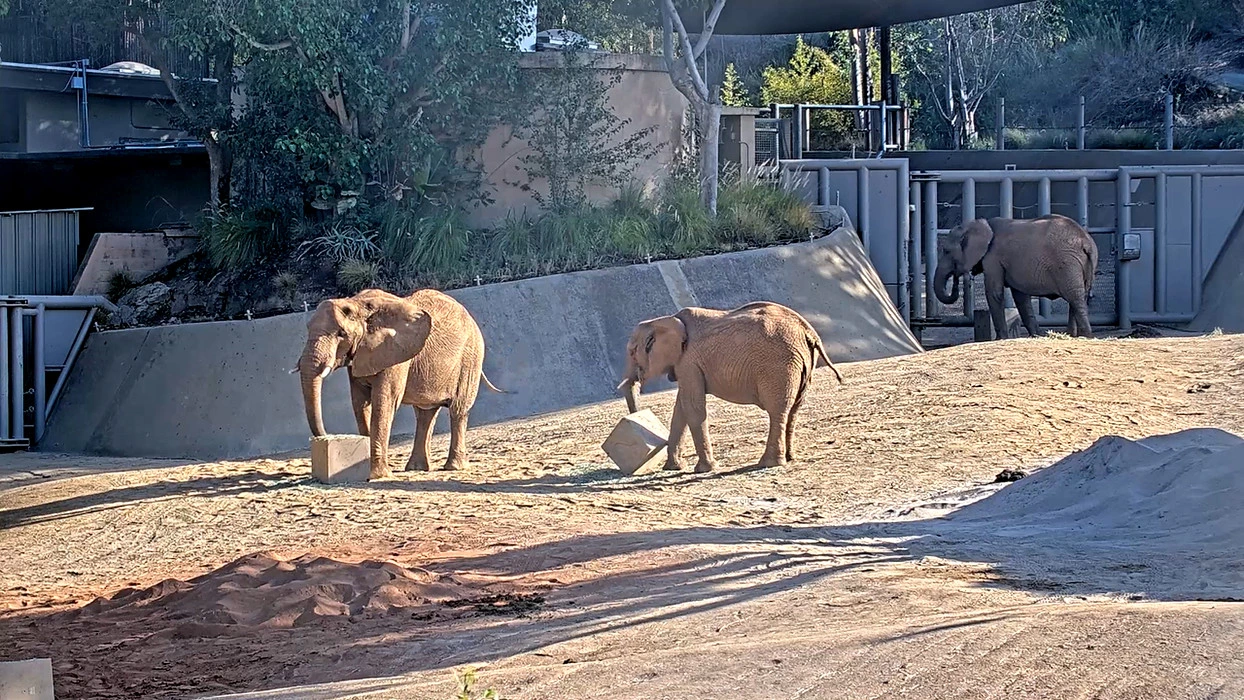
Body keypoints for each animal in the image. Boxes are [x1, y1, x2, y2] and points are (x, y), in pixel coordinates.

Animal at [292, 287, 505, 479]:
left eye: (341, 334)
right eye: (308, 329)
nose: (324, 438)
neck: (356, 303)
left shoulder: (396, 353)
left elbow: (384, 402)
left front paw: (378, 476)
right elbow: (360, 403)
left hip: (470, 358)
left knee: (458, 410)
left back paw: (453, 467)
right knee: (425, 414)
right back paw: (417, 469)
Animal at [614, 302, 840, 474]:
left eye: (632, 352)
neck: (665, 320)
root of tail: (808, 331)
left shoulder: (688, 361)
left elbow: (693, 408)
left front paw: (704, 470)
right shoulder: (686, 365)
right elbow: (681, 410)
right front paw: (673, 468)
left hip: (779, 366)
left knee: (778, 411)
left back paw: (768, 464)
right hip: (801, 365)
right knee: (793, 410)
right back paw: (789, 458)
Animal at [935, 216, 1099, 343]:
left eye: (946, 251)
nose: (956, 279)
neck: (980, 224)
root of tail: (1086, 242)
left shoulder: (993, 257)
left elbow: (994, 293)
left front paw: (1000, 339)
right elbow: (1021, 298)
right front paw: (1036, 336)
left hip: (1067, 265)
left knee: (1075, 298)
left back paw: (1086, 337)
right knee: (1077, 298)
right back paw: (1070, 335)